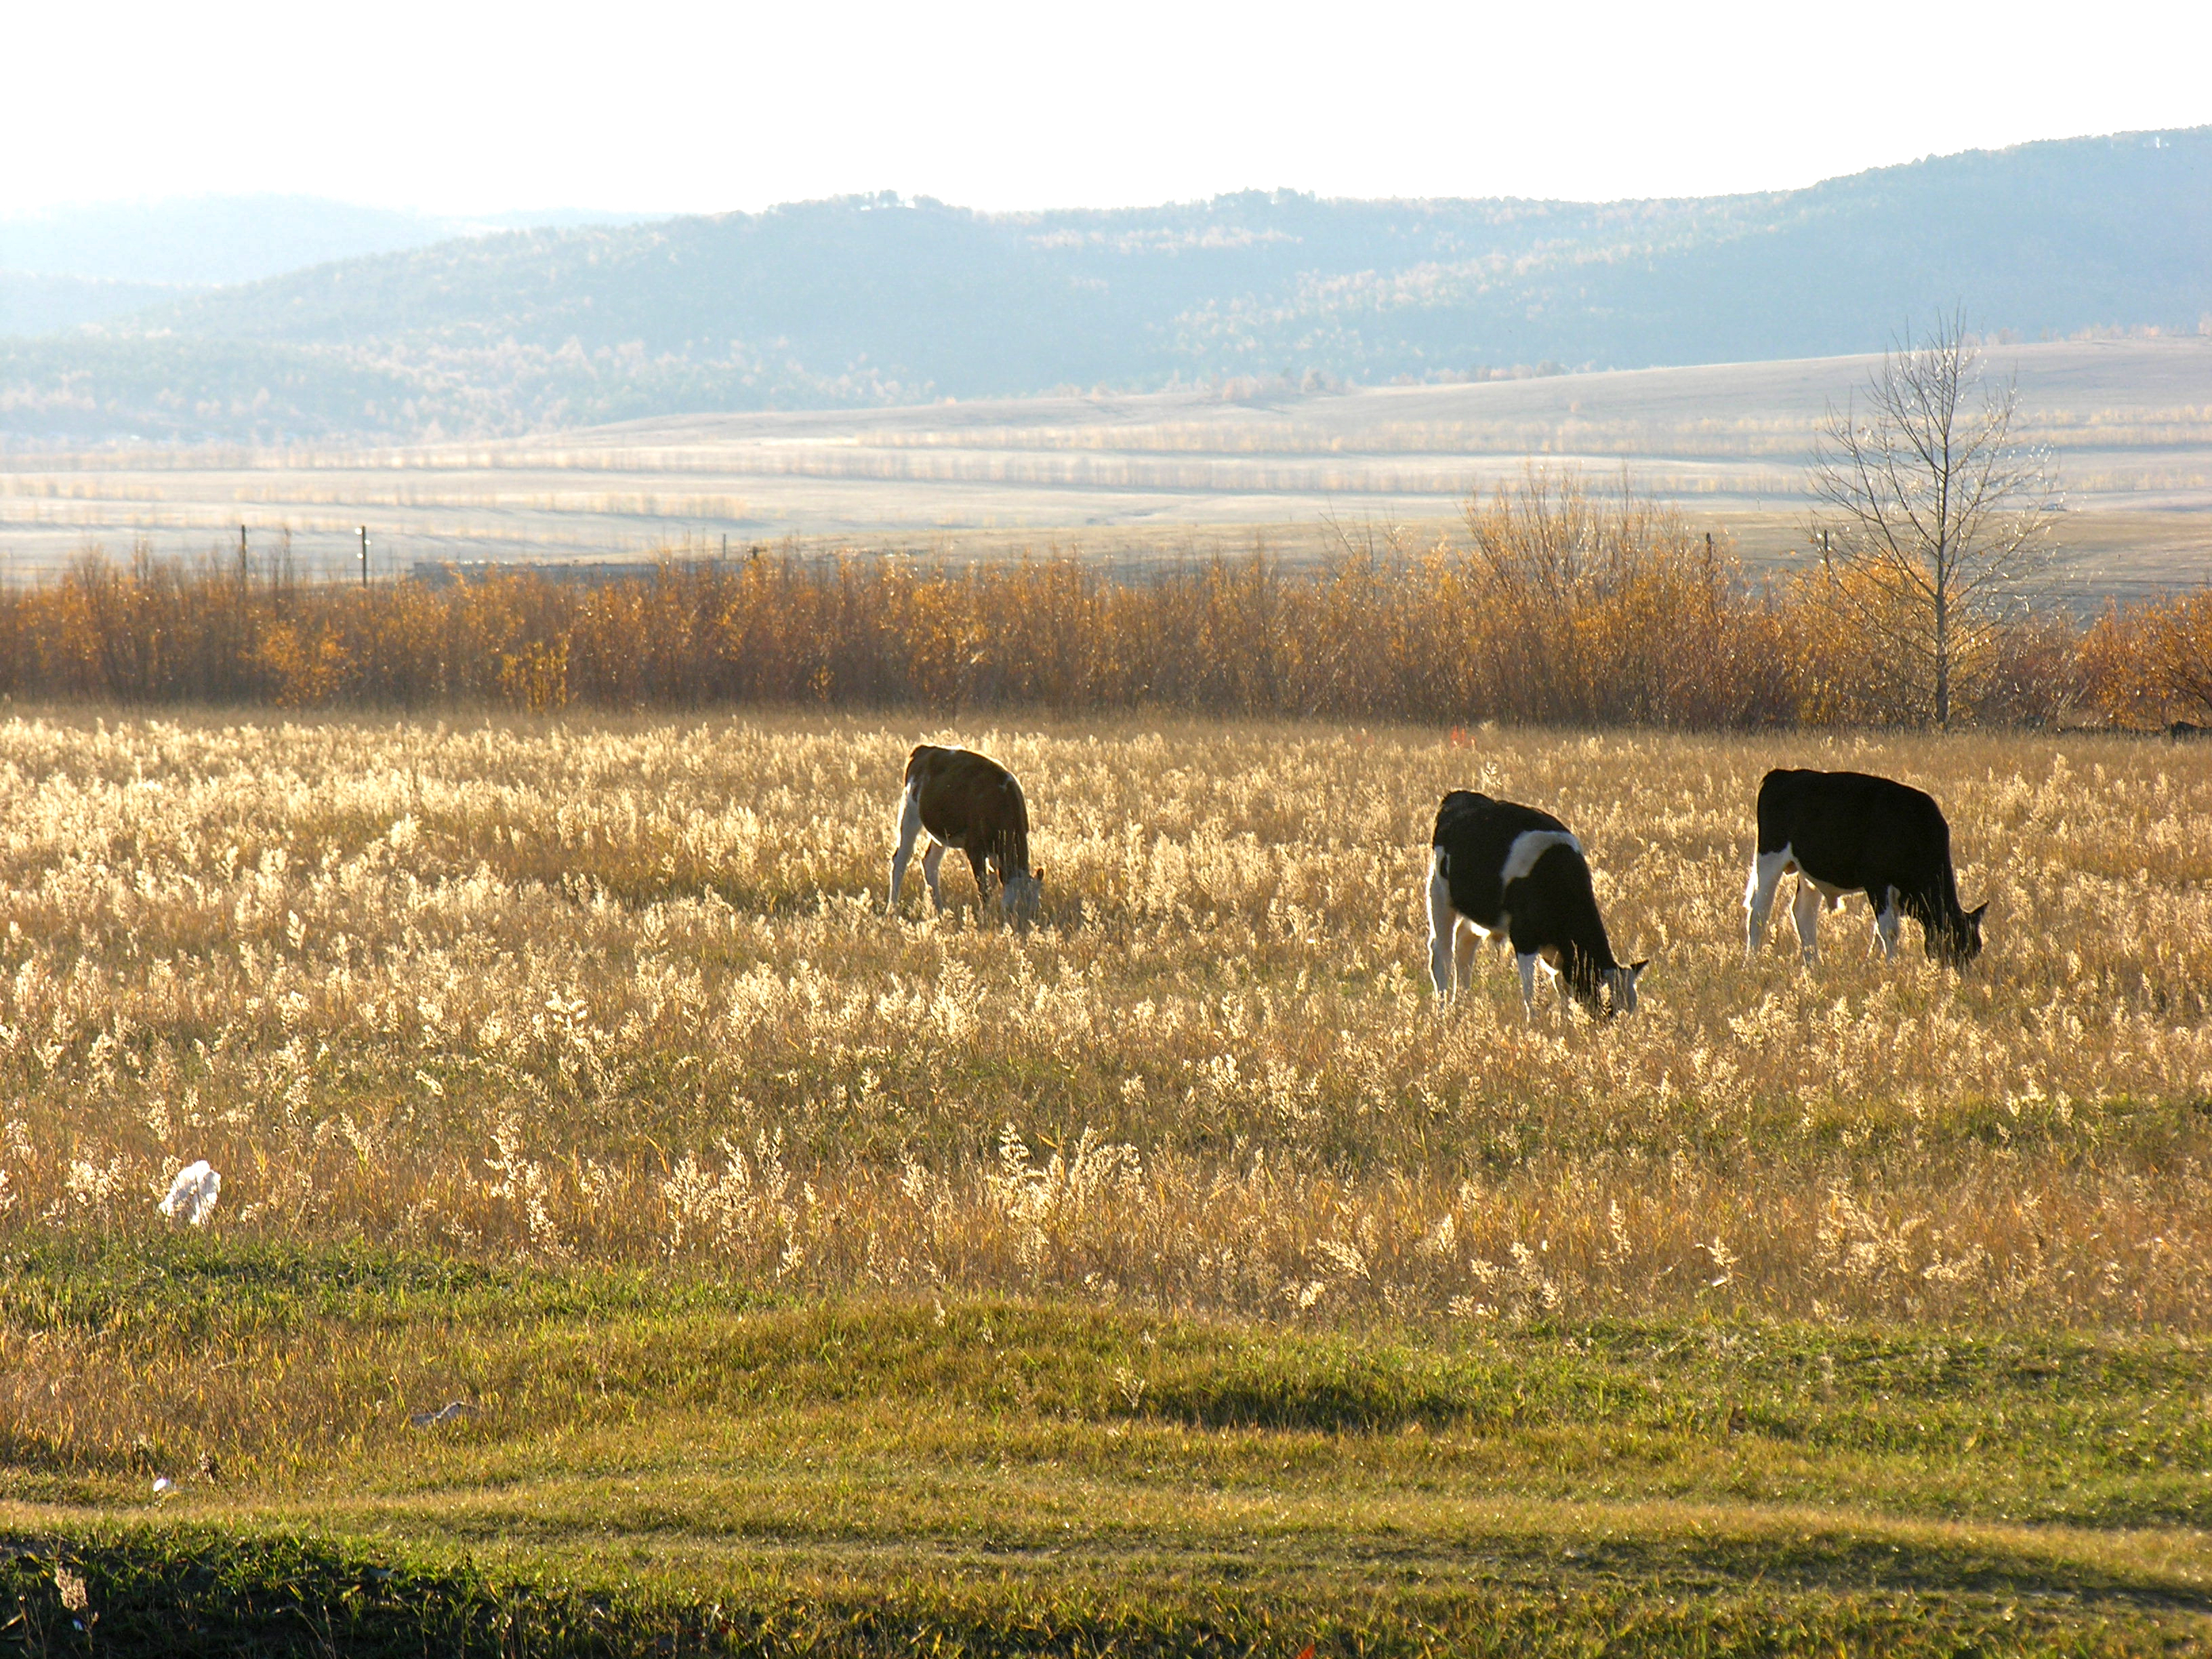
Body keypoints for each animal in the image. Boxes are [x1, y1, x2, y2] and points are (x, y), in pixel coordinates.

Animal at [884, 747, 1040, 928]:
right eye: (1013, 907)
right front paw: (983, 919)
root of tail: (925, 749)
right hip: (909, 812)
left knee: (930, 862)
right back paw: (891, 911)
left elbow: (992, 882)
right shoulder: (975, 848)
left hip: (940, 831)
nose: (1024, 928)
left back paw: (939, 911)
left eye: (1035, 908)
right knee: (900, 860)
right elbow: (984, 888)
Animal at [1425, 787, 1654, 1012]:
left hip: (1480, 911)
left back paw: (1462, 1003)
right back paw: (1443, 1009)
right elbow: (1531, 993)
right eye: (1609, 1008)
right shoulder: (1524, 938)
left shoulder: (1559, 953)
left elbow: (1562, 991)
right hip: (1439, 893)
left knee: (1464, 945)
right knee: (1442, 954)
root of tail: (1457, 796)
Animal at [1743, 769, 1990, 968]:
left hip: (1810, 871)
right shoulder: (1877, 883)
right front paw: (1891, 968)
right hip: (1769, 858)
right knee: (1760, 913)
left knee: (1804, 913)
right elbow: (1888, 930)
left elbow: (1879, 932)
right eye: (1954, 945)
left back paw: (1813, 964)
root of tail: (1782, 774)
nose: (1959, 977)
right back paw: (1752, 962)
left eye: (1975, 950)